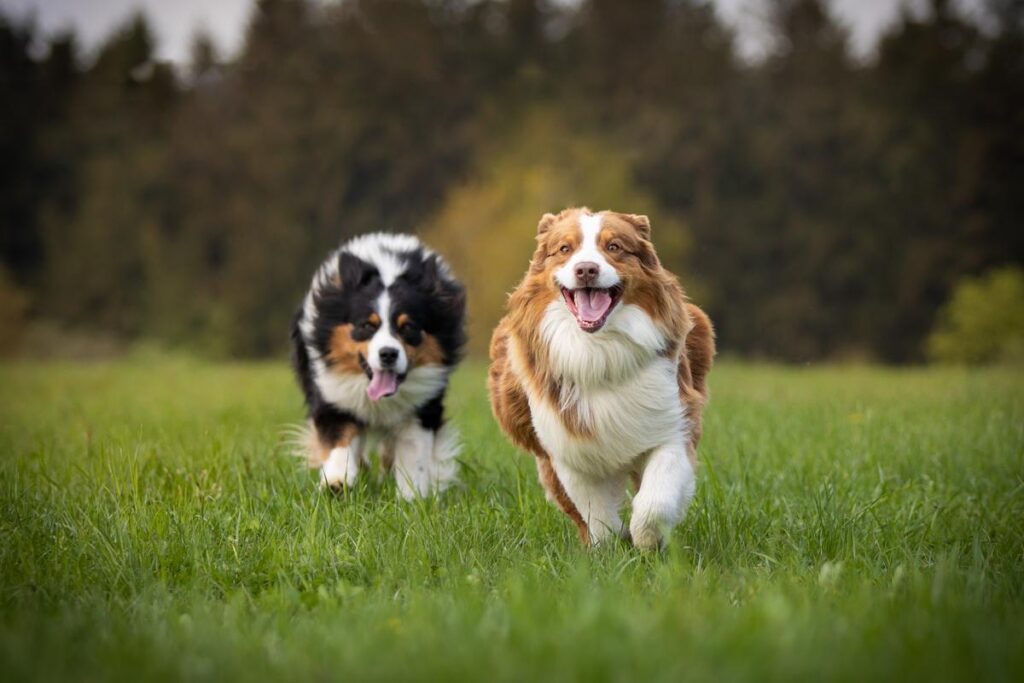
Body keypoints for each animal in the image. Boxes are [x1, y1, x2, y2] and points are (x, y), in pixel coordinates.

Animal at [288, 233, 464, 497]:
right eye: (367, 326)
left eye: (408, 327)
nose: (388, 354)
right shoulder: (332, 394)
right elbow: (340, 438)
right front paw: (337, 481)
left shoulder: (423, 405)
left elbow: (414, 451)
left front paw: (412, 495)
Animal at [489, 206, 716, 548]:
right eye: (565, 249)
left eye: (614, 247)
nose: (586, 270)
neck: (598, 349)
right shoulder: (567, 449)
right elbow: (596, 514)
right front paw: (611, 546)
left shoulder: (673, 423)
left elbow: (654, 502)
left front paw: (648, 541)